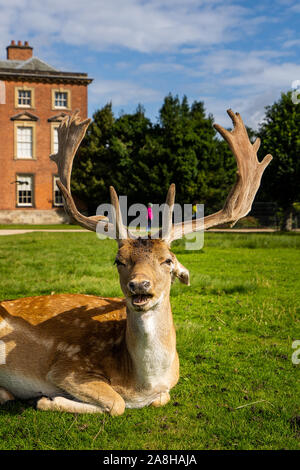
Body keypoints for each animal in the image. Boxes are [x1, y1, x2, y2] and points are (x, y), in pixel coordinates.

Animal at [0, 110, 272, 414]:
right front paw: (47, 399)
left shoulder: (164, 389)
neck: (142, 384)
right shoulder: (66, 367)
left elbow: (160, 399)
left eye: (168, 261)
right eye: (118, 260)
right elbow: (117, 403)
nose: (139, 285)